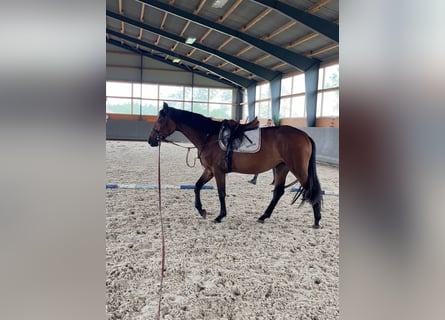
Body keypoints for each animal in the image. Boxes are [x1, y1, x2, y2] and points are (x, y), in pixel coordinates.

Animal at [147, 102, 320, 228]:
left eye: (160, 120)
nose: (150, 140)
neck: (210, 137)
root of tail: (304, 135)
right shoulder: (209, 171)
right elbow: (197, 187)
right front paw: (202, 210)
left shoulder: (218, 171)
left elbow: (221, 192)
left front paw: (220, 216)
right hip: (281, 168)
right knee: (278, 192)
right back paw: (263, 216)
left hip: (297, 169)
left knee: (311, 189)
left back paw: (317, 220)